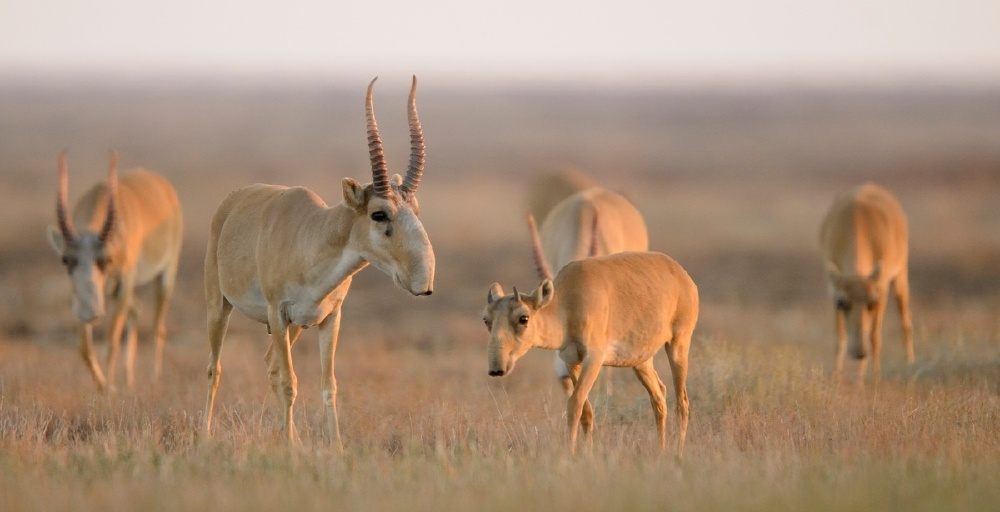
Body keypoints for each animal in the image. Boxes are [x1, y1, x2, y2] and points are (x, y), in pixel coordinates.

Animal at [47, 152, 184, 392]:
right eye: (66, 259)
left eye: (106, 259)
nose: (90, 312)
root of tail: (163, 186)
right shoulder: (81, 297)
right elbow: (84, 348)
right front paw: (104, 387)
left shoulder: (125, 283)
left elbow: (111, 341)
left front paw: (110, 388)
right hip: (113, 291)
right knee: (137, 310)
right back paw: (130, 381)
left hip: (165, 275)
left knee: (158, 327)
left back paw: (154, 380)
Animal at [202, 77, 434, 448]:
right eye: (379, 213)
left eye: (416, 209)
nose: (423, 281)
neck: (312, 236)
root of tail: (232, 201)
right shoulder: (277, 314)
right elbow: (289, 382)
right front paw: (291, 448)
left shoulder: (330, 319)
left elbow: (328, 386)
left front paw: (332, 446)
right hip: (220, 307)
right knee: (215, 367)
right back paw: (205, 434)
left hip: (296, 326)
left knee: (270, 365)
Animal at [482, 217, 700, 456]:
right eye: (486, 319)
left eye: (523, 318)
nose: (496, 369)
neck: (567, 302)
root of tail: (681, 274)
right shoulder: (571, 361)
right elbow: (585, 410)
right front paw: (586, 452)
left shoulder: (594, 359)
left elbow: (575, 403)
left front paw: (571, 453)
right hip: (641, 361)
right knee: (659, 396)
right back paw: (661, 449)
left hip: (678, 344)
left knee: (682, 401)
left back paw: (678, 452)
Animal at [820, 182, 916, 382]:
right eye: (841, 302)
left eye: (873, 302)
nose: (859, 352)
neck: (857, 223)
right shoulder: (832, 290)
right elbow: (839, 338)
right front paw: (836, 379)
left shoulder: (882, 289)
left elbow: (874, 336)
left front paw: (872, 379)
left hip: (901, 275)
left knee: (905, 321)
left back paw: (910, 365)